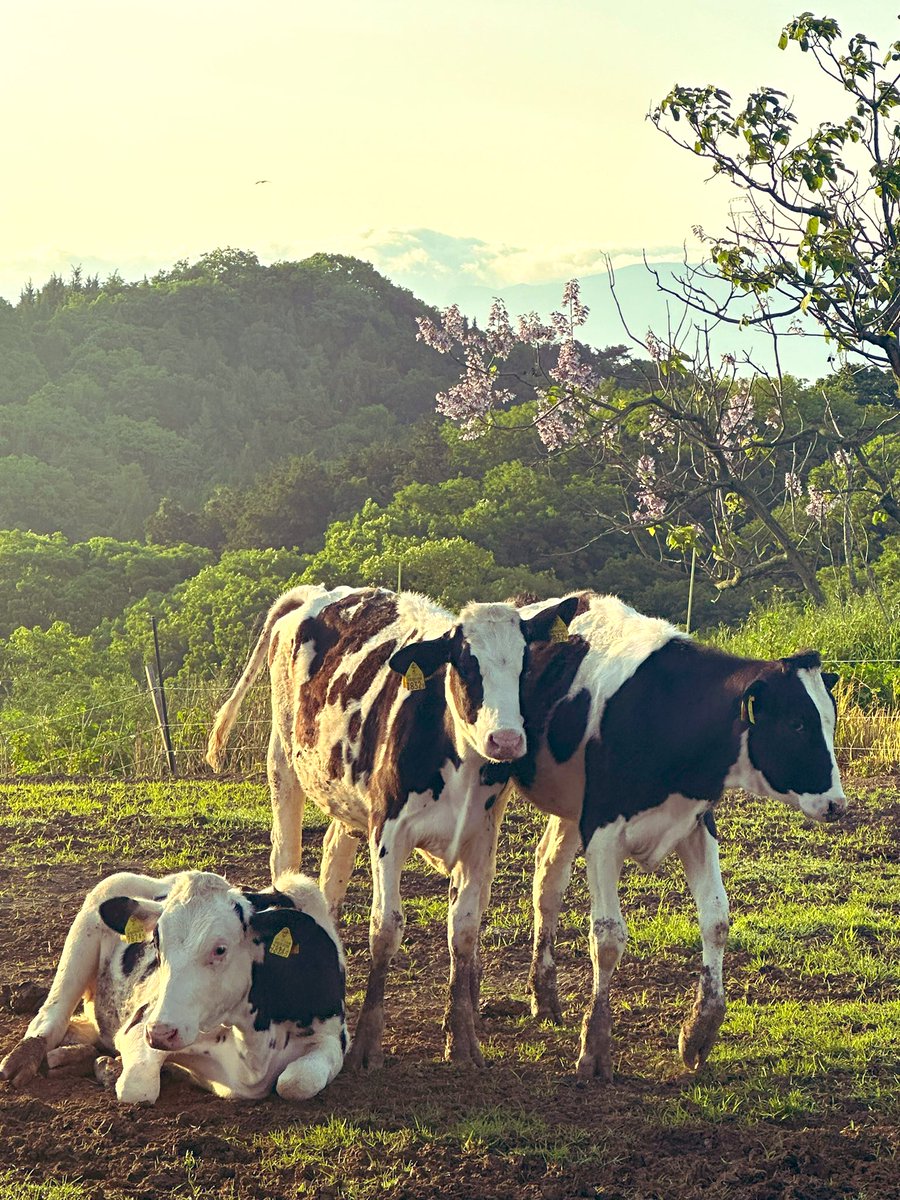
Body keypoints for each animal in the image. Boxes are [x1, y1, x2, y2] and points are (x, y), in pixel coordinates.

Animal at [0, 868, 348, 1099]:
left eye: (220, 949)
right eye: (157, 942)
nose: (160, 1032)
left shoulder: (333, 1038)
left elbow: (296, 1083)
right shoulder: (141, 1021)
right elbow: (137, 1086)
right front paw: (117, 1070)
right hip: (90, 920)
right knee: (50, 1017)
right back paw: (25, 1060)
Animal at [206, 585, 578, 1065]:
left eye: (524, 665)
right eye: (465, 664)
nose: (507, 741)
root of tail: (316, 592)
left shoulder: (480, 839)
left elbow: (464, 931)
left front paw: (461, 1037)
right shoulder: (389, 832)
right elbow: (385, 928)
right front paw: (367, 1041)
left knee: (332, 862)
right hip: (283, 764)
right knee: (285, 859)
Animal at [504, 595, 849, 1084]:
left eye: (830, 721)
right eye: (797, 724)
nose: (837, 804)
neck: (670, 713)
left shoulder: (695, 822)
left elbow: (717, 920)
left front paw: (699, 1032)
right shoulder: (602, 831)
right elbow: (607, 937)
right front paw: (595, 1046)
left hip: (570, 810)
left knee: (547, 880)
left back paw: (545, 996)